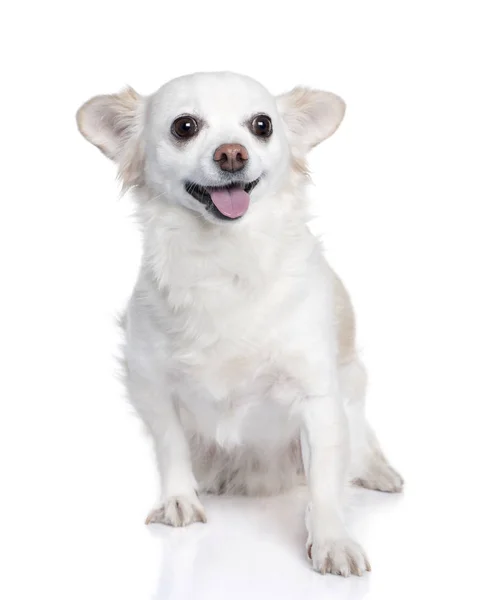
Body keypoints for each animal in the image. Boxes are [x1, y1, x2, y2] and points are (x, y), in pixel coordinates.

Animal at [77, 71, 404, 576]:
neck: (224, 259)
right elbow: (171, 444)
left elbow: (324, 481)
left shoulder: (318, 399)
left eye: (262, 125)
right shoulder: (151, 385)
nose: (232, 153)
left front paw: (332, 540)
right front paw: (178, 499)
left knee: (358, 443)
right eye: (185, 127)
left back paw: (378, 471)